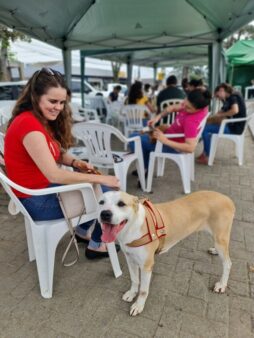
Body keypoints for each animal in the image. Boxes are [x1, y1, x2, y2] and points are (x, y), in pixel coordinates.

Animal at [98, 191, 235, 316]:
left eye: (121, 203)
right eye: (101, 202)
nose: (104, 214)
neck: (133, 227)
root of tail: (227, 198)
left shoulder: (146, 266)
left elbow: (143, 290)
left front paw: (138, 305)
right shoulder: (130, 259)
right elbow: (134, 280)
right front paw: (132, 294)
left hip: (220, 238)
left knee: (228, 263)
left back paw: (222, 285)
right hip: (218, 238)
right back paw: (215, 251)